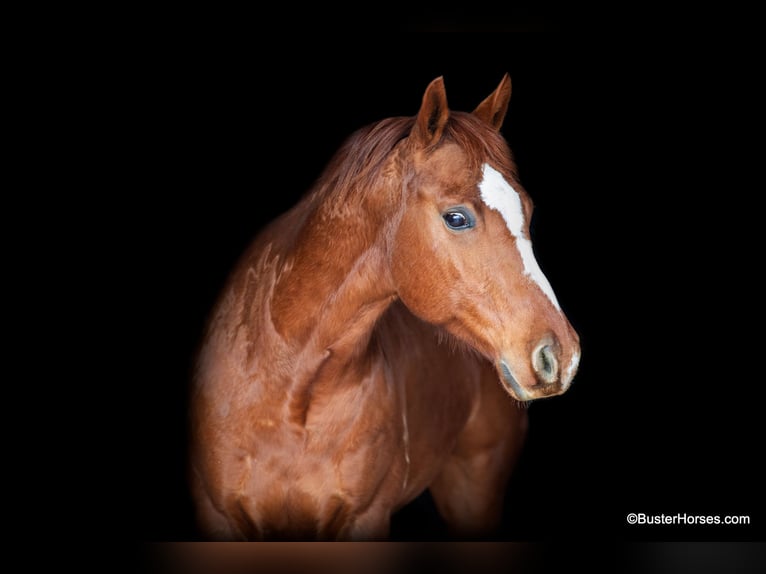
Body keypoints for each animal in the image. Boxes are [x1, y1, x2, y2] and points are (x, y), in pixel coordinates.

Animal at [189, 73, 581, 540]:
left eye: (529, 211)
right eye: (456, 218)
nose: (561, 355)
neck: (287, 382)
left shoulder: (365, 517)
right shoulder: (219, 516)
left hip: (474, 491)